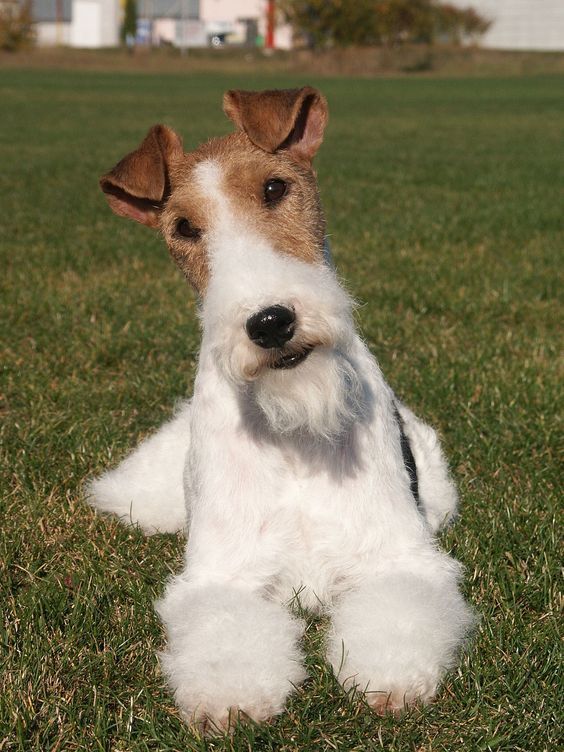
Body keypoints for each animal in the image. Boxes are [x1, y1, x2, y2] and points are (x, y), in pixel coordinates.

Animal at [88, 85, 474, 732]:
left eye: (274, 187)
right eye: (183, 227)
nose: (270, 322)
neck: (296, 426)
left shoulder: (398, 556)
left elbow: (397, 615)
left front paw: (390, 679)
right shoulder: (225, 573)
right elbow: (224, 633)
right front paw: (231, 699)